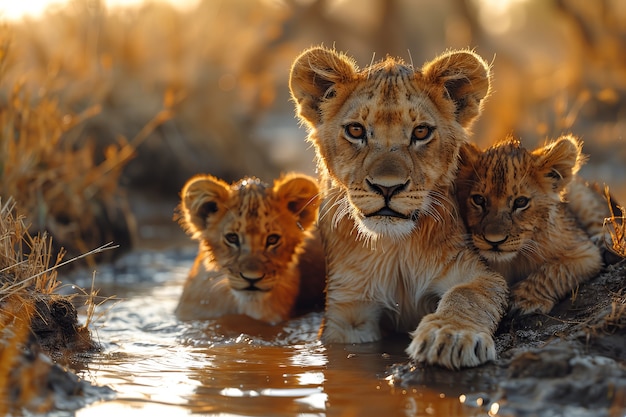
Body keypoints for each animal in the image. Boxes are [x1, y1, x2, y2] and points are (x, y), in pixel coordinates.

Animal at [288, 47, 508, 368]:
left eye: (421, 132)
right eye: (356, 130)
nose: (387, 187)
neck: (395, 247)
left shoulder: (478, 272)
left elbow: (467, 295)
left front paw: (450, 336)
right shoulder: (349, 308)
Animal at [454, 135, 604, 314]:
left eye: (521, 202)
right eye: (478, 199)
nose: (494, 241)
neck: (509, 262)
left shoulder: (585, 252)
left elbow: (554, 272)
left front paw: (525, 299)